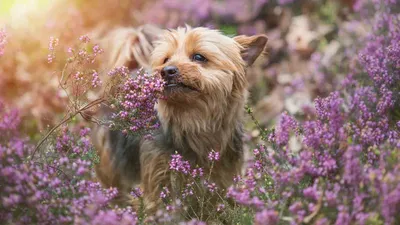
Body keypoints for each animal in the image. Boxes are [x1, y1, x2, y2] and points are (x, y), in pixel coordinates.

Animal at [92, 25, 268, 214]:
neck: (195, 121)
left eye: (198, 57)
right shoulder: (157, 179)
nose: (166, 70)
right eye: (165, 59)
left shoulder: (223, 178)